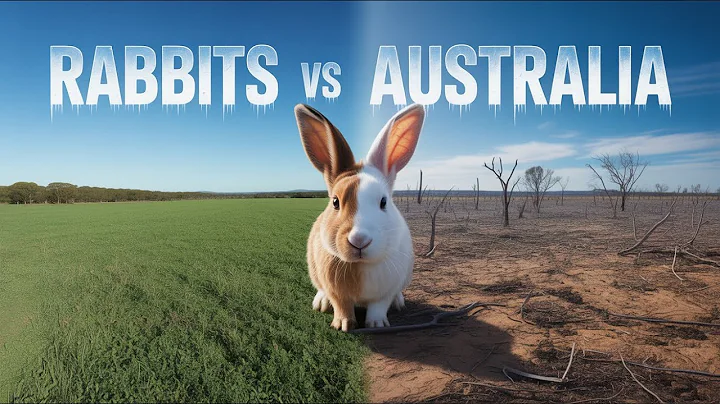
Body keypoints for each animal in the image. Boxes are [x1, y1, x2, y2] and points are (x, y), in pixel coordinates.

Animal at [294, 103, 425, 332]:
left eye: (384, 202)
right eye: (335, 202)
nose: (359, 240)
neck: (361, 265)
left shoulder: (385, 291)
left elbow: (379, 306)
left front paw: (377, 324)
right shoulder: (337, 292)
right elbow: (342, 306)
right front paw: (343, 325)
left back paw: (399, 303)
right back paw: (320, 303)